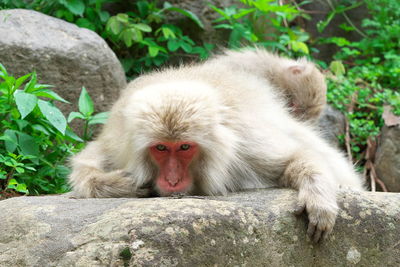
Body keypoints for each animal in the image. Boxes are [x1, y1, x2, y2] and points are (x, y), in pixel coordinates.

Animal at [69, 48, 366, 243]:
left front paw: (318, 198)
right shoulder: (119, 143)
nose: (172, 180)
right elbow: (84, 167)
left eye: (185, 148)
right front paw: (122, 185)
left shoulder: (244, 146)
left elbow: (295, 157)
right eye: (161, 148)